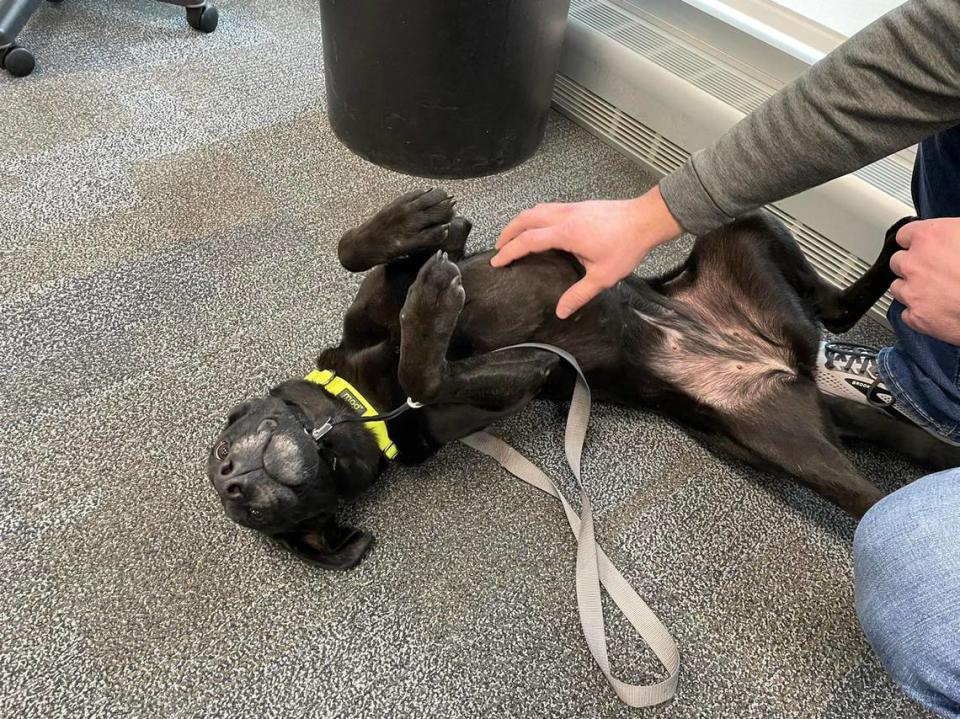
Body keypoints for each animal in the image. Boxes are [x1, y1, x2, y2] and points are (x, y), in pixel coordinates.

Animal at [208, 188, 960, 572]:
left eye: (220, 451)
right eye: (256, 516)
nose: (234, 482)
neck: (364, 403)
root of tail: (780, 361)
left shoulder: (402, 282)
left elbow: (363, 248)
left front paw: (416, 217)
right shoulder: (515, 375)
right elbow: (426, 369)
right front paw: (432, 315)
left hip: (744, 231)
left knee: (832, 309)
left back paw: (902, 247)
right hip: (786, 442)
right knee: (875, 479)